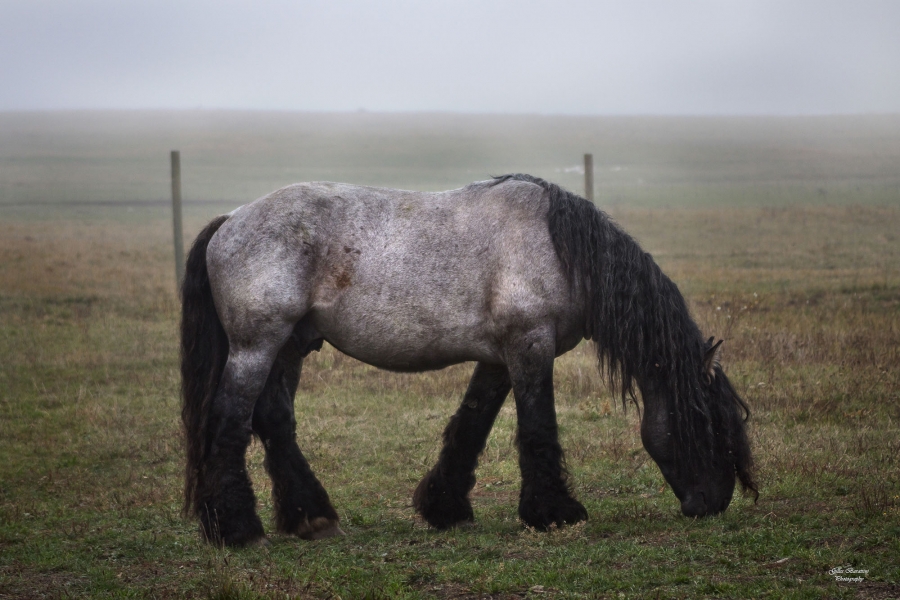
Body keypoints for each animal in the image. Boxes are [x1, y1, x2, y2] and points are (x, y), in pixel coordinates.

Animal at [180, 174, 757, 547]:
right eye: (709, 423)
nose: (713, 503)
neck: (560, 251)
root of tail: (231, 220)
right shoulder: (530, 346)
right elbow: (537, 428)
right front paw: (554, 513)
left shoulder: (500, 358)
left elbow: (472, 424)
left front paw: (445, 507)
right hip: (258, 345)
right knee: (230, 421)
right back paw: (237, 529)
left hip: (289, 346)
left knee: (274, 420)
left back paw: (310, 518)